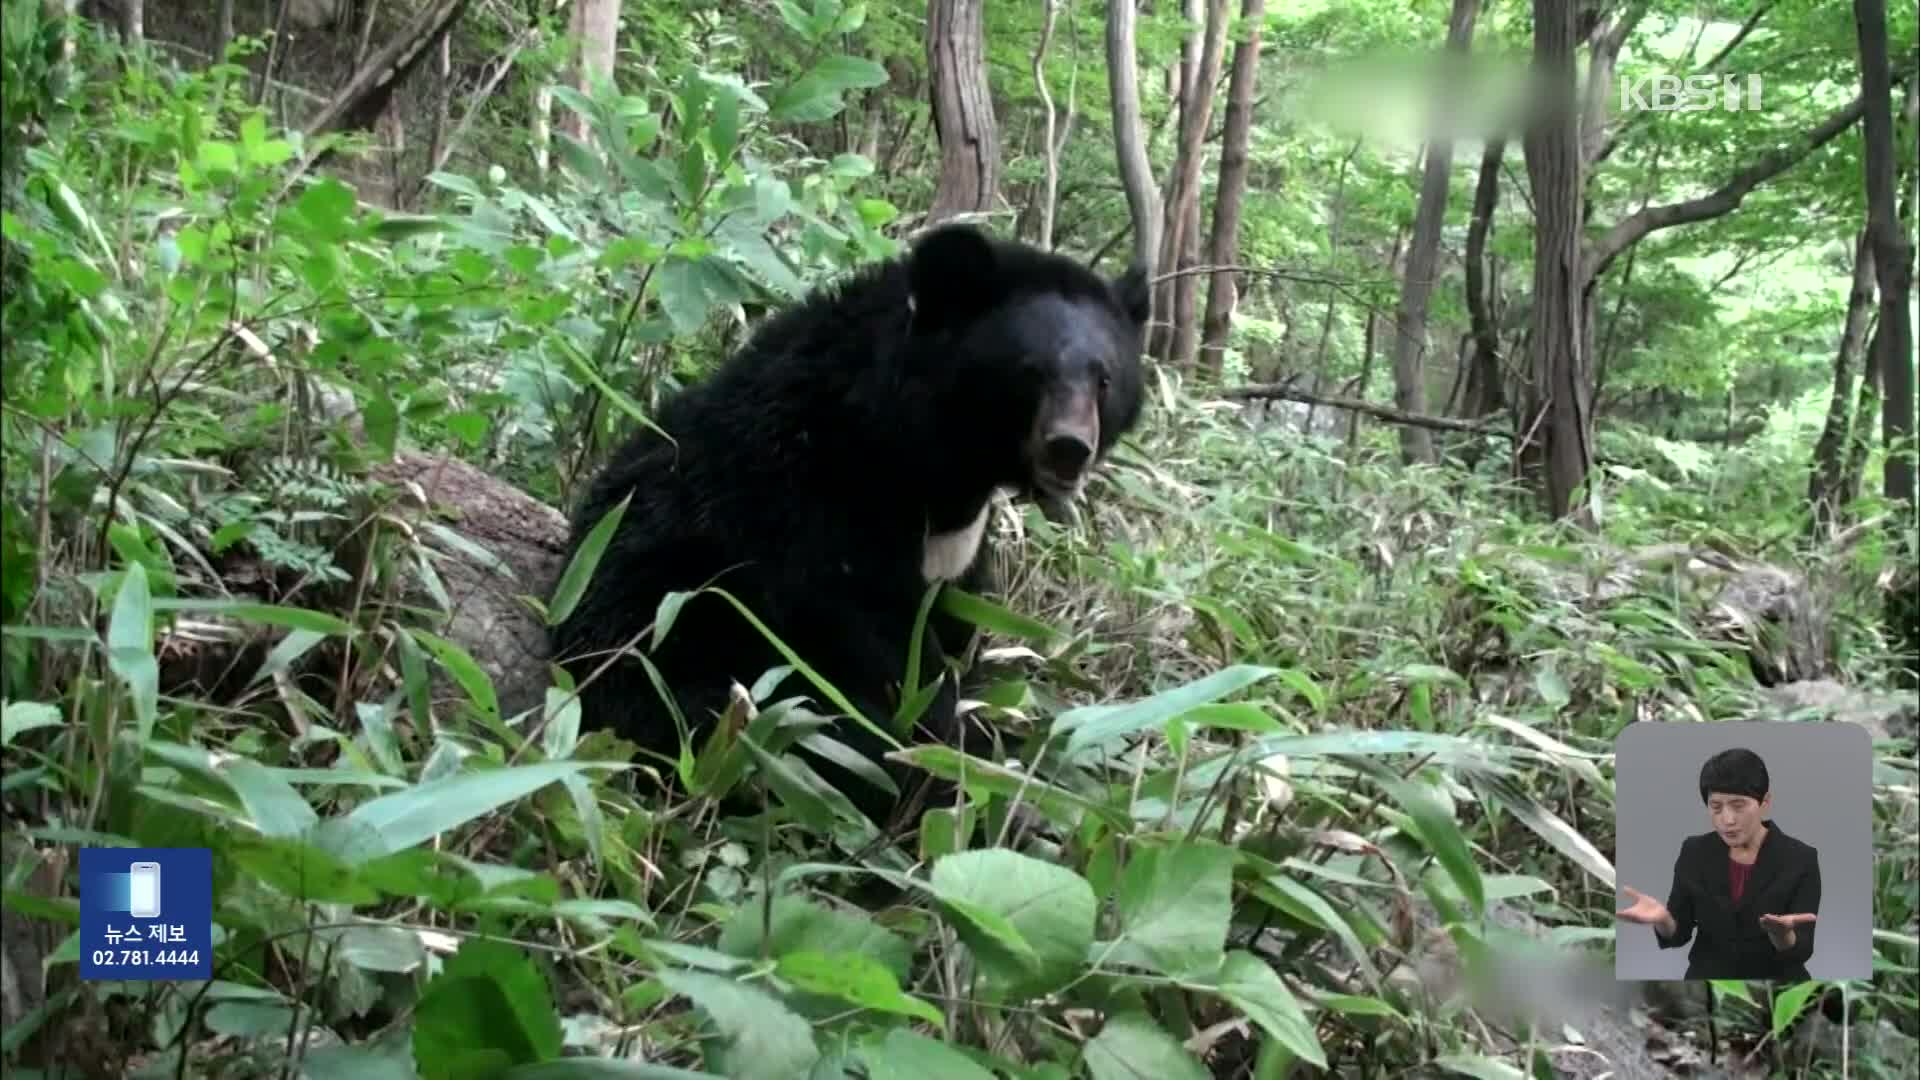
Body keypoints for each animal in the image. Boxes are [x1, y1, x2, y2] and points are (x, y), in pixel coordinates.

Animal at [549, 219, 1144, 822]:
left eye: (1104, 379)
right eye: (1030, 373)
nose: (1069, 449)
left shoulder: (955, 551)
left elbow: (956, 627)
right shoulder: (811, 504)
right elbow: (866, 636)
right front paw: (958, 753)